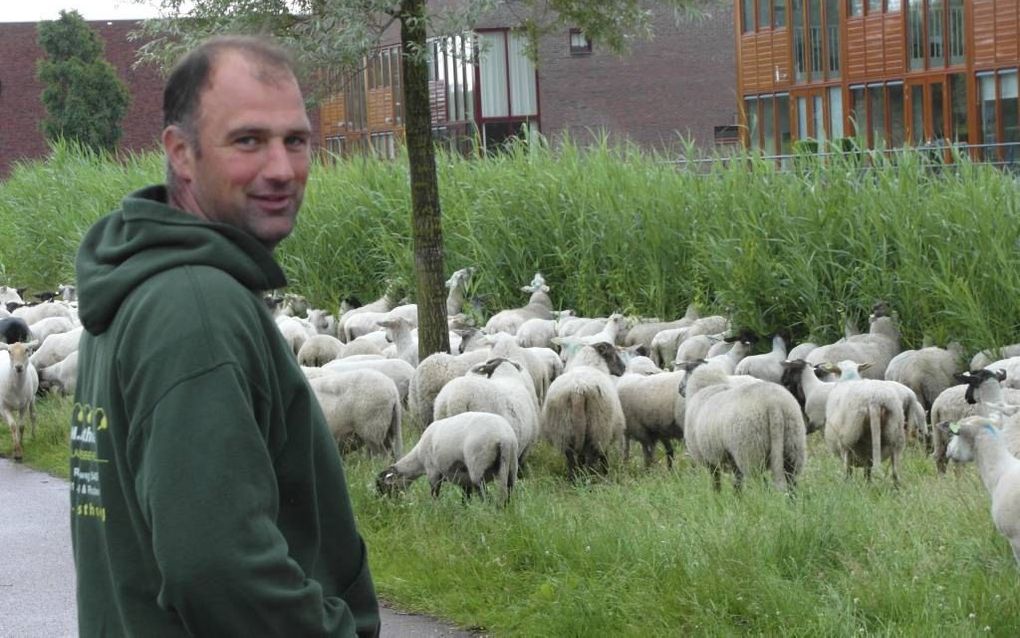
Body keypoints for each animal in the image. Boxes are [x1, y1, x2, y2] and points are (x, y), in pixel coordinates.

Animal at [375, 410, 518, 504]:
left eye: (383, 487)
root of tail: (504, 438)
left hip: (478, 467)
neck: (418, 459)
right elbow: (465, 499)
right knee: (509, 493)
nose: (385, 506)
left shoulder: (433, 472)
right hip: (511, 466)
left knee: (486, 496)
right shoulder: (465, 480)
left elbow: (434, 494)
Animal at [538, 342, 624, 477]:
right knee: (592, 457)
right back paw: (591, 476)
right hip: (599, 427)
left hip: (564, 428)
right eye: (613, 353)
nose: (624, 368)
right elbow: (604, 455)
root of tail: (578, 390)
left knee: (570, 457)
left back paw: (574, 477)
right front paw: (606, 471)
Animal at [681, 363, 807, 492]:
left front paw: (718, 496)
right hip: (792, 444)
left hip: (749, 450)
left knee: (761, 483)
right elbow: (737, 481)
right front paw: (736, 496)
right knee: (792, 481)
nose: (680, 389)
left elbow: (716, 481)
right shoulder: (730, 456)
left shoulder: (710, 457)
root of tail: (774, 404)